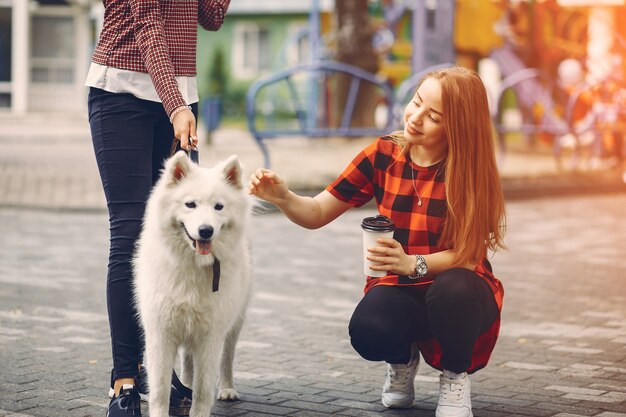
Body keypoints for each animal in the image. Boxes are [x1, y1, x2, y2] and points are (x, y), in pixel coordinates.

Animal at [133, 150, 251, 416]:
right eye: (190, 204)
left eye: (219, 206)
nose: (205, 230)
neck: (193, 265)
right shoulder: (161, 334)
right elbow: (160, 390)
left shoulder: (210, 336)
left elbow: (203, 389)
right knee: (187, 361)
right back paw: (185, 384)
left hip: (234, 323)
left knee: (227, 357)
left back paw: (227, 388)